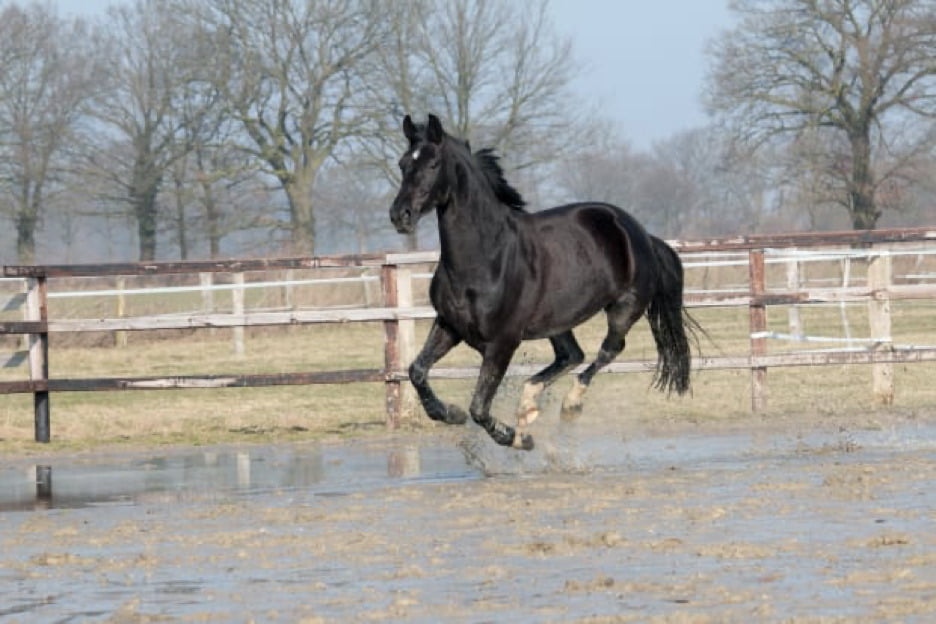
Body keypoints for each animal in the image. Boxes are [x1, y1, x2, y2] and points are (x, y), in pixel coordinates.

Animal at [389, 114, 698, 451]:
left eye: (433, 164)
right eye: (403, 164)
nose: (400, 215)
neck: (485, 259)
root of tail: (640, 232)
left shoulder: (503, 342)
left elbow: (480, 407)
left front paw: (515, 438)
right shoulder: (449, 326)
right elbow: (417, 371)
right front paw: (450, 413)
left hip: (624, 309)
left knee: (608, 350)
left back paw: (569, 405)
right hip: (557, 321)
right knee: (571, 355)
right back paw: (528, 404)